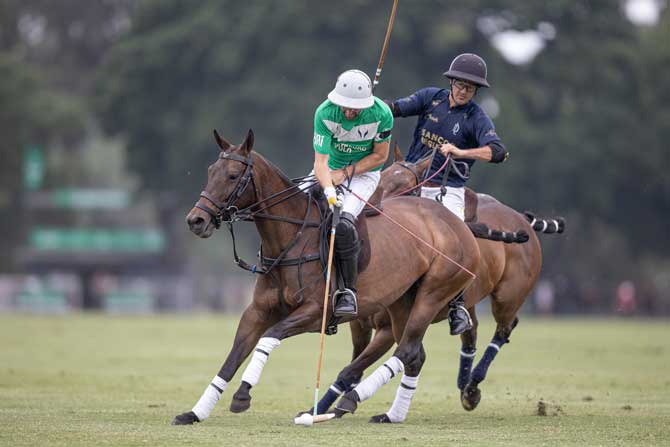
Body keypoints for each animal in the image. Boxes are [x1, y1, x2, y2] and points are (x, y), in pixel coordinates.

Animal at [171, 130, 480, 428]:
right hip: (402, 300)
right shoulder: (257, 311)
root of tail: (457, 222)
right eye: (211, 171)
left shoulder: (316, 311)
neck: (291, 240)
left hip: (433, 293)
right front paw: (194, 413)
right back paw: (390, 415)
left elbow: (270, 336)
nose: (196, 220)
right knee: (415, 354)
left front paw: (243, 395)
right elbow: (233, 356)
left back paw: (349, 401)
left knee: (408, 349)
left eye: (233, 176)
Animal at [312, 148, 564, 420]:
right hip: (472, 302)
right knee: (470, 331)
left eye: (406, 186)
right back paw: (466, 386)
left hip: (508, 296)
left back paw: (473, 383)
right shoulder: (359, 325)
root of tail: (520, 217)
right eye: (383, 177)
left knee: (505, 328)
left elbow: (356, 368)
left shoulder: (387, 329)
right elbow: (354, 367)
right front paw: (324, 407)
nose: (372, 209)